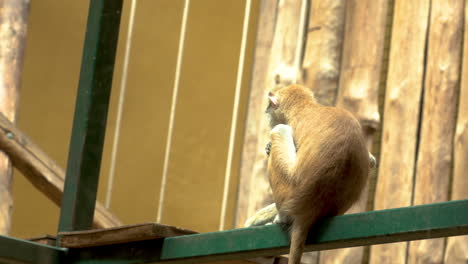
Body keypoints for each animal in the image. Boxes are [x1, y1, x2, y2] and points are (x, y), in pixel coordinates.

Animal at [245, 84, 372, 264]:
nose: (266, 111)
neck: (304, 107)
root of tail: (310, 208)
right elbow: (372, 160)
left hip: (287, 188)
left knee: (280, 130)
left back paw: (282, 218)